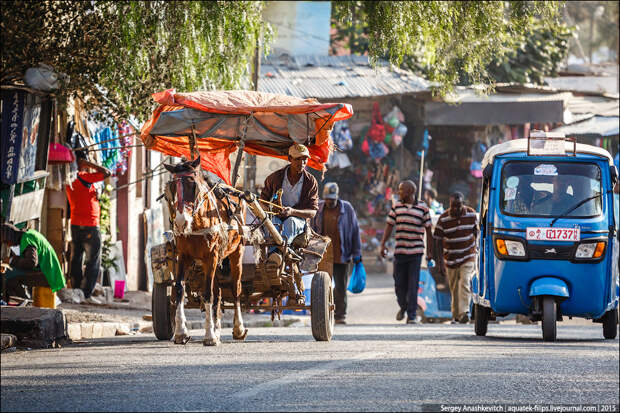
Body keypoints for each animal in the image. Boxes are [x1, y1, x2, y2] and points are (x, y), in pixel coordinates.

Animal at [163, 157, 248, 344]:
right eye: (172, 186)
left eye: (192, 183)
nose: (180, 222)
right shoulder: (183, 256)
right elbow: (179, 288)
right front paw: (181, 333)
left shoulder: (211, 256)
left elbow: (207, 293)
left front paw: (209, 335)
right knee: (218, 292)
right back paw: (217, 328)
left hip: (237, 252)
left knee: (235, 288)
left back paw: (238, 328)